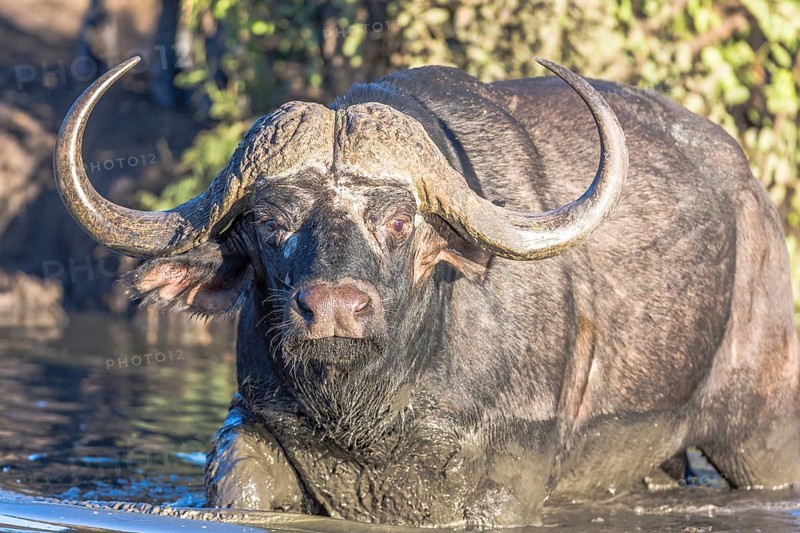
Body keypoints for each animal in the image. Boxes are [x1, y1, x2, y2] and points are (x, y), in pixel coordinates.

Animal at [54, 56, 800, 527]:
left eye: (398, 221)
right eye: (270, 222)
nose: (333, 310)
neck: (372, 419)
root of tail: (753, 200)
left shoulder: (507, 480)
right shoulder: (256, 426)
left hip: (762, 434)